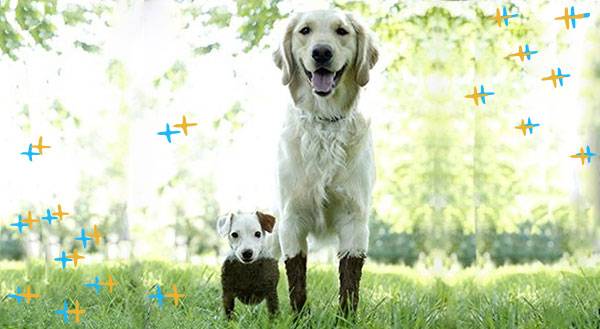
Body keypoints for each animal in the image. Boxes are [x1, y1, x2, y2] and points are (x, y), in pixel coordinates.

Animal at [274, 9, 378, 312]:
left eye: (342, 31)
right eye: (305, 31)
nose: (321, 52)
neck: (325, 122)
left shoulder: (355, 219)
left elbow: (350, 282)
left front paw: (346, 318)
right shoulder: (292, 219)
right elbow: (296, 279)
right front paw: (299, 318)